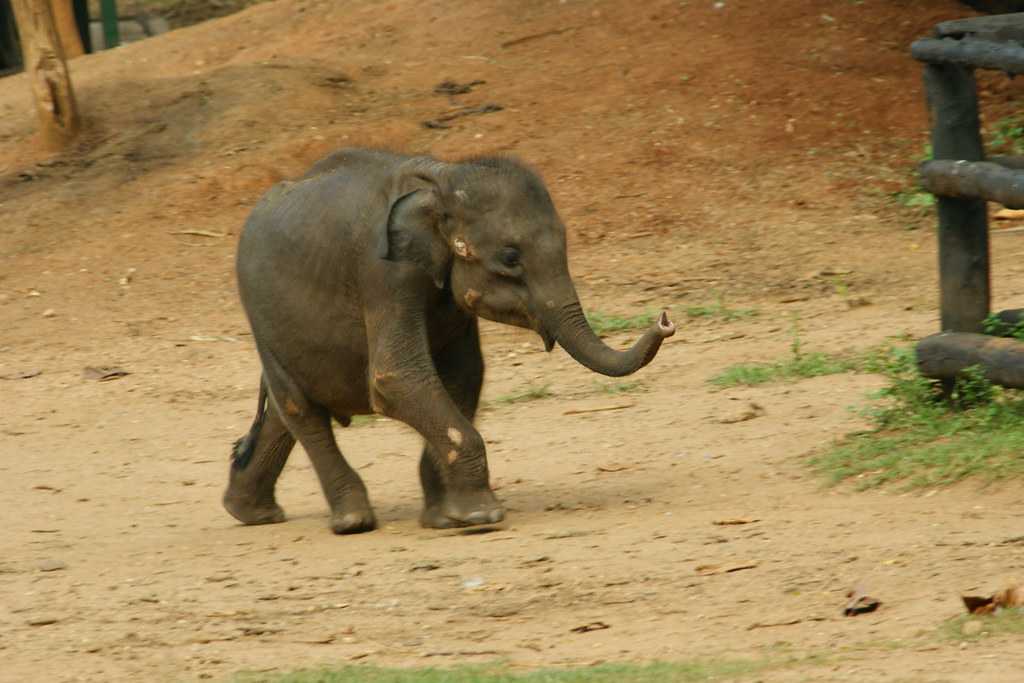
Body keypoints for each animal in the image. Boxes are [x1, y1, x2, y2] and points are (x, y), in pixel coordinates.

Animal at [223, 148, 671, 532]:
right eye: (510, 257)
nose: (665, 319)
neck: (442, 177)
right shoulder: (383, 273)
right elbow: (396, 377)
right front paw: (481, 518)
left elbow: (465, 374)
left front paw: (445, 518)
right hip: (259, 316)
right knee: (301, 410)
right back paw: (352, 522)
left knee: (283, 412)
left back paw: (250, 512)